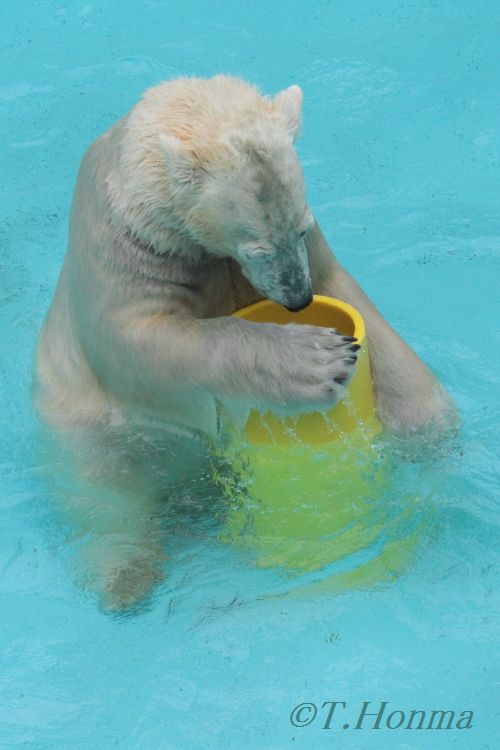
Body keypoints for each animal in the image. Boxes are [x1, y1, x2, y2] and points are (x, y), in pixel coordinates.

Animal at [33, 75, 456, 612]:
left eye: (303, 225)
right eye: (256, 245)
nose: (296, 299)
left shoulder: (305, 258)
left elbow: (346, 294)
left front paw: (425, 419)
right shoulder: (127, 246)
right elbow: (143, 345)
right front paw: (317, 360)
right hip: (90, 438)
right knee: (106, 499)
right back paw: (126, 576)